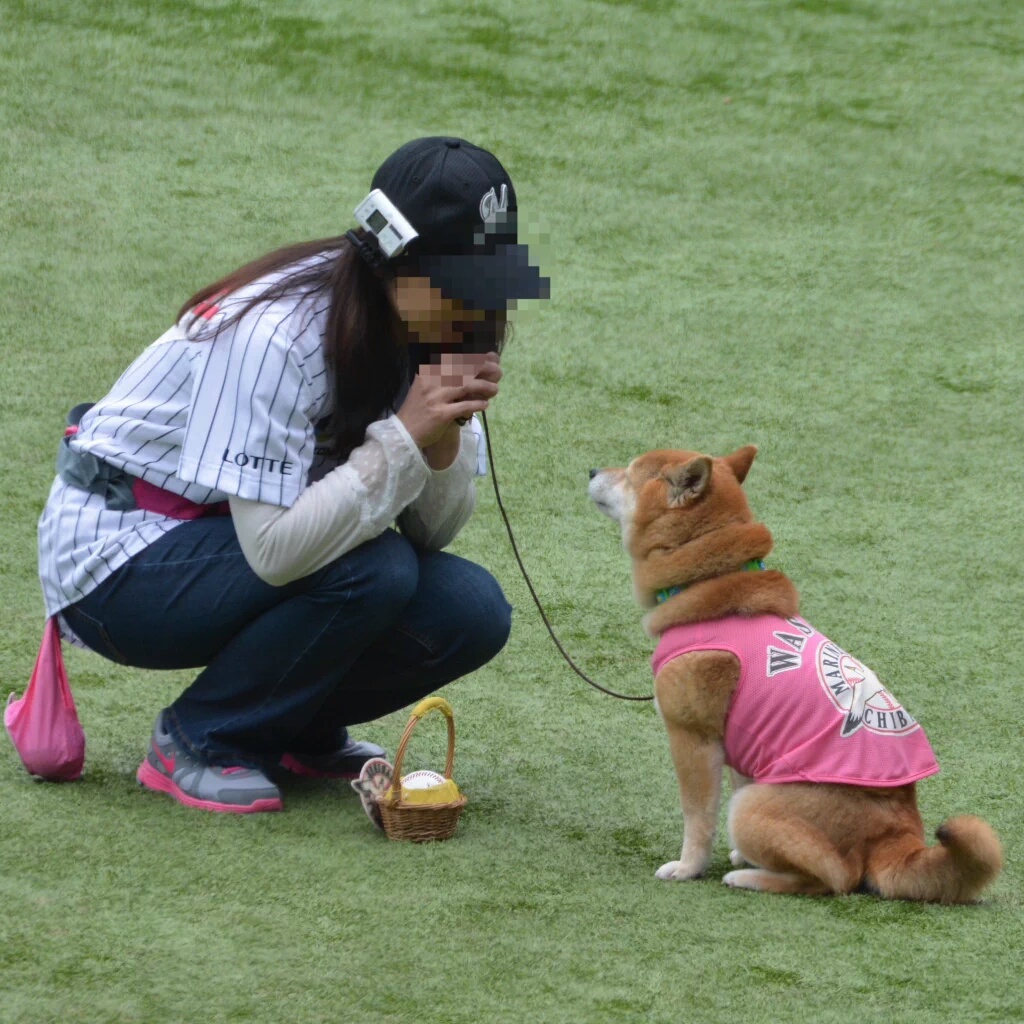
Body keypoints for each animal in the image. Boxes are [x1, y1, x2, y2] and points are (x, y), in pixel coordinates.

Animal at [588, 446, 1002, 902]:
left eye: (628, 473)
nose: (590, 470)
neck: (707, 583)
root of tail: (898, 834)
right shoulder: (744, 743)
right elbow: (734, 781)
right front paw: (740, 855)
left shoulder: (693, 739)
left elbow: (698, 817)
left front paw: (687, 867)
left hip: (752, 808)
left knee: (834, 879)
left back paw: (751, 879)